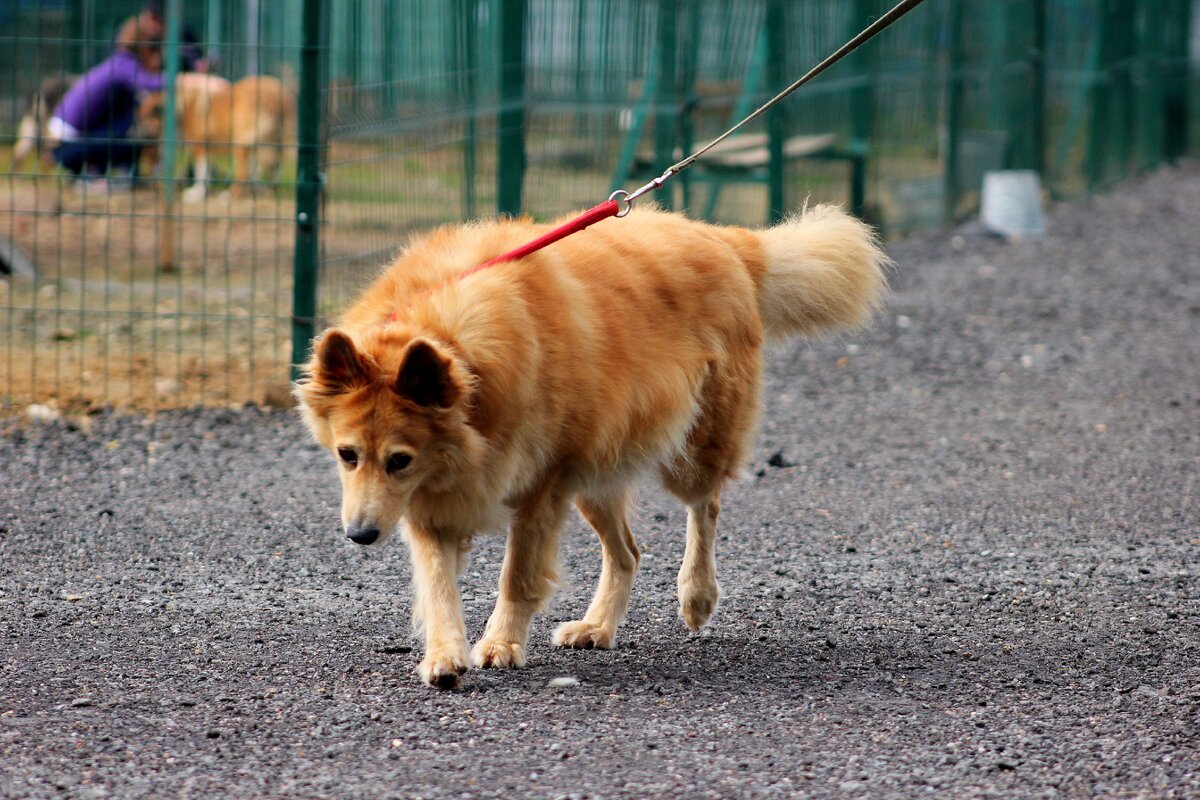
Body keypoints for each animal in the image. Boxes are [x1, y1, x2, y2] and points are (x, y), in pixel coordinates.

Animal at [294, 205, 888, 690]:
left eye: (399, 460)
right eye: (348, 455)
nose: (359, 536)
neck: (460, 354)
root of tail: (722, 239)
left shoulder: (537, 490)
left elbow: (517, 578)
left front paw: (501, 643)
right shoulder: (431, 503)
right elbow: (438, 585)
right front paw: (444, 655)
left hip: (688, 453)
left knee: (706, 506)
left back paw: (697, 595)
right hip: (595, 475)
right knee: (628, 553)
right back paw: (598, 626)